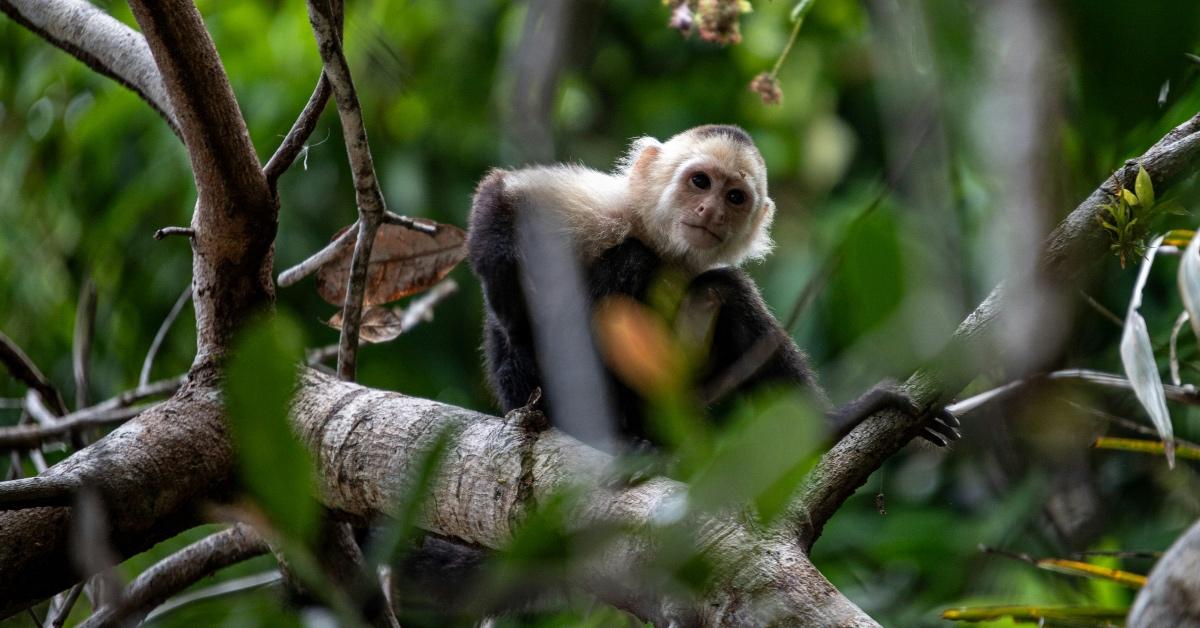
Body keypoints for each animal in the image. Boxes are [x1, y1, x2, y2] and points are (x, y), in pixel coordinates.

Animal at [463, 123, 960, 446]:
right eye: (700, 182)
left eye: (735, 197)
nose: (712, 212)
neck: (665, 243)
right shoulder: (606, 209)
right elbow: (499, 192)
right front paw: (509, 304)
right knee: (631, 261)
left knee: (723, 287)